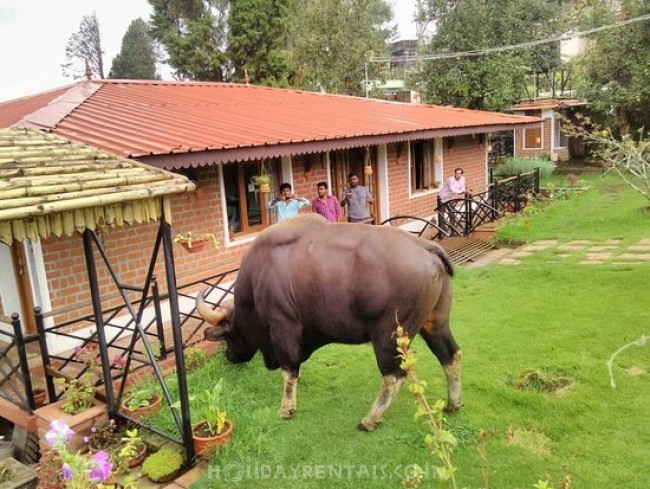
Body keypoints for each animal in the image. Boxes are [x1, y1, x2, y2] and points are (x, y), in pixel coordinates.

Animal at [195, 214, 458, 430]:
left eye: (229, 335)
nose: (229, 356)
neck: (256, 281)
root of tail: (426, 247)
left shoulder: (283, 328)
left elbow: (288, 370)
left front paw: (286, 408)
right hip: (435, 322)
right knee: (450, 354)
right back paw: (453, 404)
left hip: (390, 334)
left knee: (394, 375)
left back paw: (370, 419)